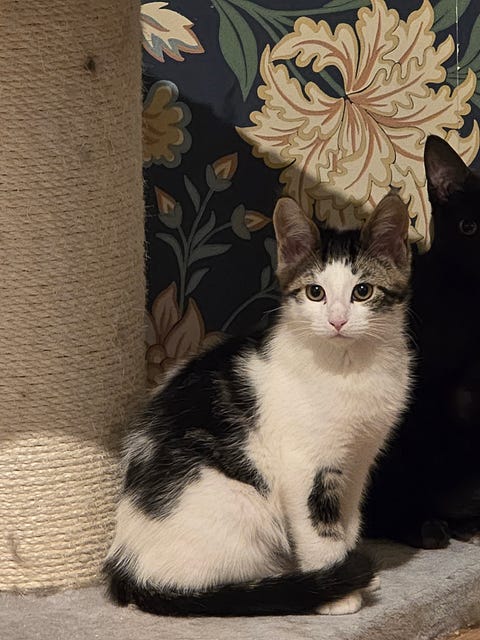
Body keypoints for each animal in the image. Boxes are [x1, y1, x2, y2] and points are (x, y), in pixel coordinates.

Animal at [103, 192, 412, 616]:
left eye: (362, 291)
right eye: (315, 292)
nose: (337, 321)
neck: (348, 366)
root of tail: (128, 568)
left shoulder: (357, 460)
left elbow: (348, 518)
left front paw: (351, 570)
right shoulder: (304, 465)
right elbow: (318, 527)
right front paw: (338, 591)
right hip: (241, 501)